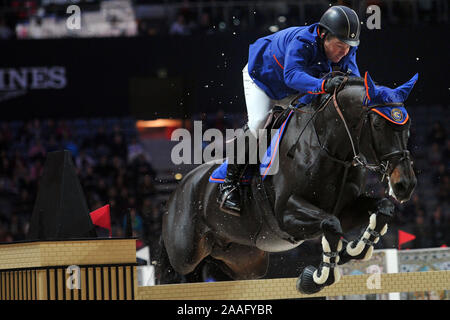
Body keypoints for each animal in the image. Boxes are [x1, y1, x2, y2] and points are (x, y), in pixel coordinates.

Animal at [157, 72, 418, 296]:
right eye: (377, 125)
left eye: (407, 126)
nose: (405, 184)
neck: (328, 148)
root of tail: (179, 189)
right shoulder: (286, 215)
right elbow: (331, 225)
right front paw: (316, 278)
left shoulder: (346, 209)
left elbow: (382, 208)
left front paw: (354, 248)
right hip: (186, 254)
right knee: (175, 271)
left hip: (245, 261)